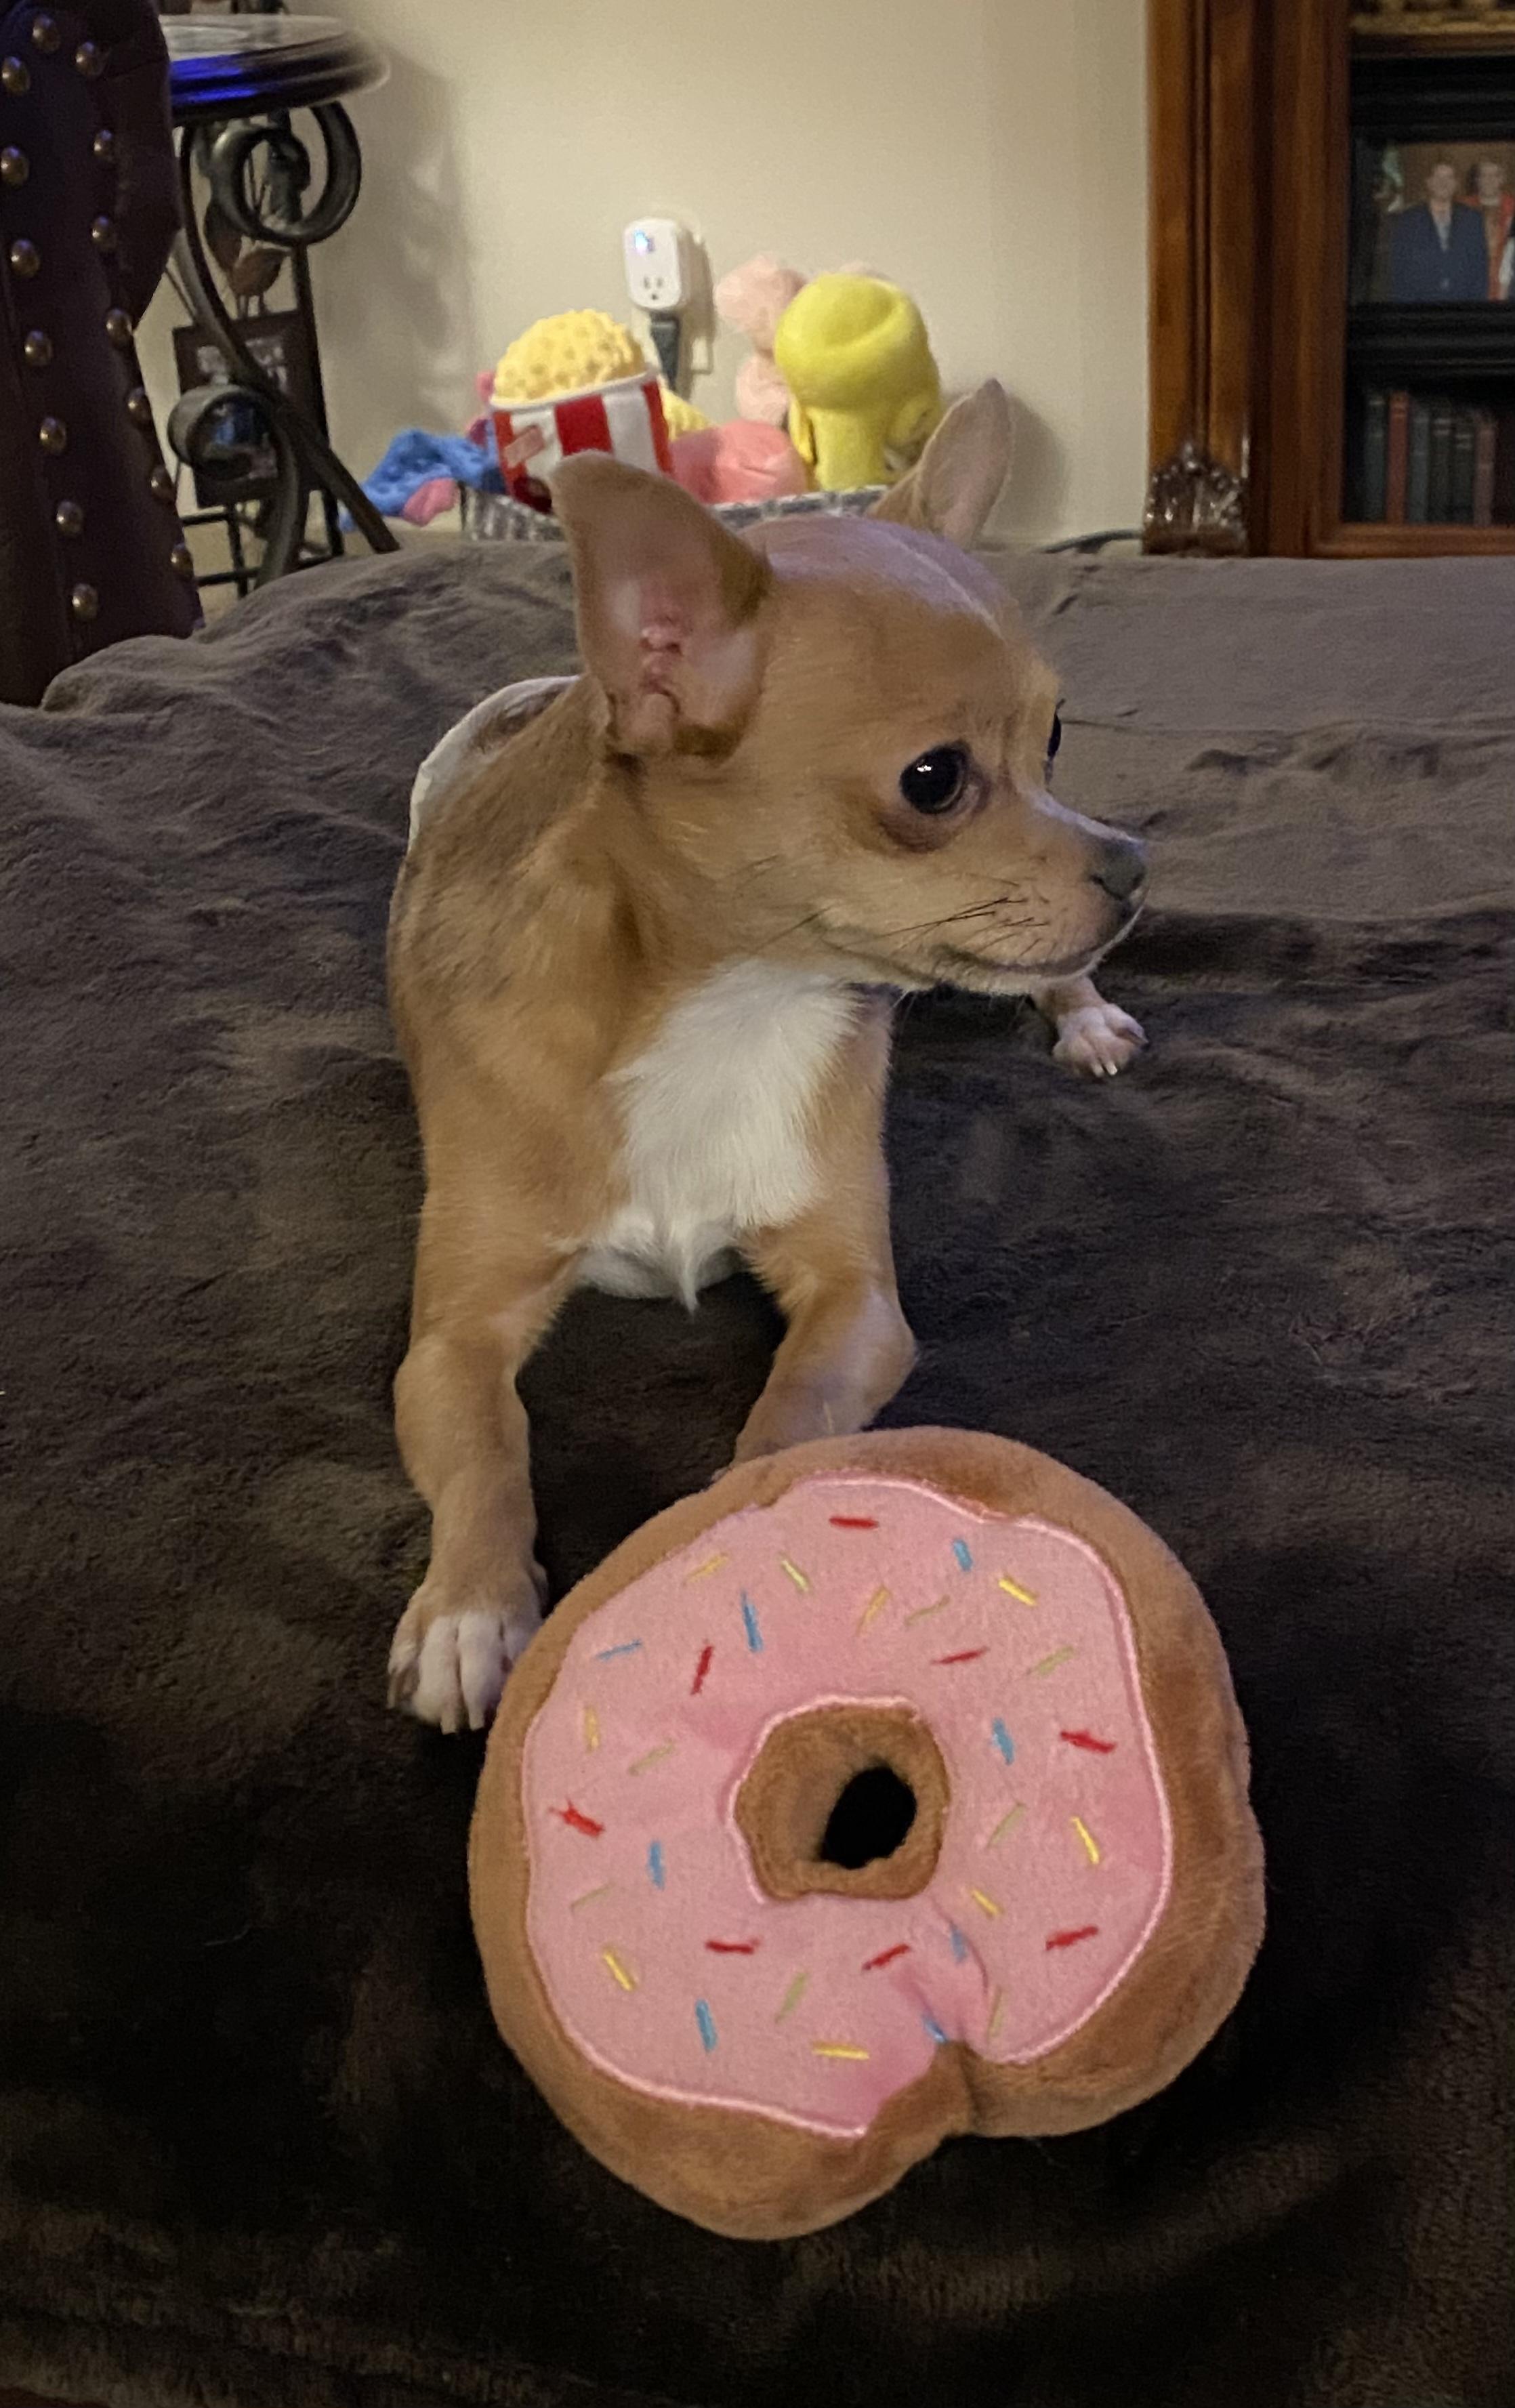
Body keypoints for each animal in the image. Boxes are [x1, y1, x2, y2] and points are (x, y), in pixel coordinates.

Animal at [386, 383, 1147, 1732]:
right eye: (935, 780)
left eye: (1056, 734)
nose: (1134, 866)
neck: (730, 998)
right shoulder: (450, 1341)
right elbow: (485, 1447)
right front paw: (468, 1606)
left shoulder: (856, 1302)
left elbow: (788, 1422)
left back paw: (1087, 1018)